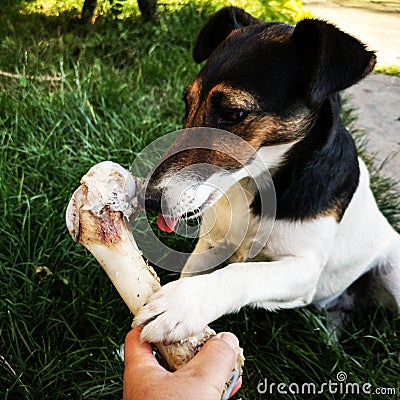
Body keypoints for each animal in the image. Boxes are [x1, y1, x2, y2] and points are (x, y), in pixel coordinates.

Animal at [135, 6, 400, 344]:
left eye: (234, 113)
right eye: (187, 102)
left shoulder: (303, 268)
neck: (256, 182)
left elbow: (242, 273)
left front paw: (184, 303)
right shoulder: (211, 243)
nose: (149, 200)